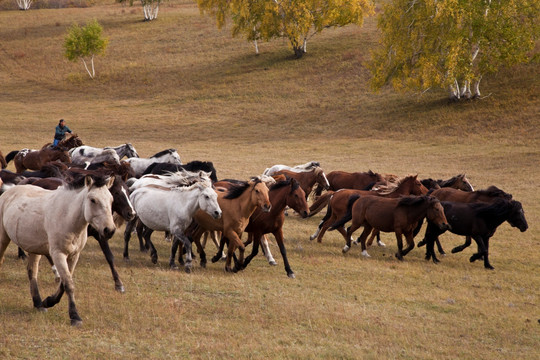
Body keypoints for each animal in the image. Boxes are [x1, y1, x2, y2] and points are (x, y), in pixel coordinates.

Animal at [0, 174, 115, 326]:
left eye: (111, 199)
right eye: (93, 200)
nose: (109, 230)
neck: (66, 216)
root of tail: (7, 192)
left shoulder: (74, 256)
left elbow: (64, 283)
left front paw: (48, 301)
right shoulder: (58, 254)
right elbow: (68, 284)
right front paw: (75, 316)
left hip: (34, 249)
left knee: (32, 272)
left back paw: (39, 304)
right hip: (3, 238)